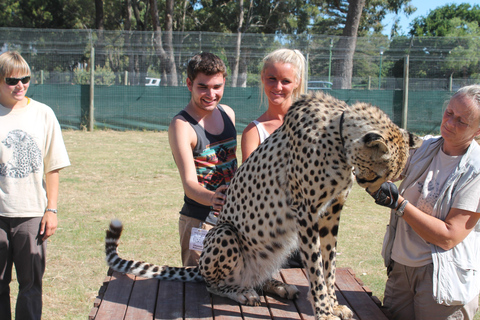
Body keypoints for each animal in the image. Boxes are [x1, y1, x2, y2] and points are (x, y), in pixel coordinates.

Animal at [105, 91, 420, 318]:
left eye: (390, 176)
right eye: (380, 173)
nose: (380, 190)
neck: (339, 139)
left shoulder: (331, 212)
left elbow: (329, 264)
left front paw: (333, 304)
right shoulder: (306, 212)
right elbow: (316, 268)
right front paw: (324, 311)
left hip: (277, 247)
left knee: (259, 276)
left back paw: (278, 285)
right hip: (223, 233)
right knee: (212, 284)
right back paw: (240, 292)